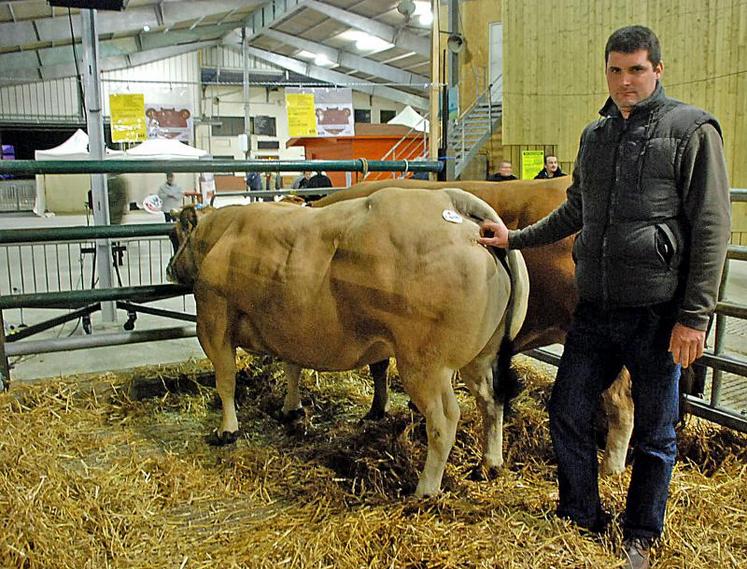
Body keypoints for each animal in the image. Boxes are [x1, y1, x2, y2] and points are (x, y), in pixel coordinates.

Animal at [169, 189, 532, 494]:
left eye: (174, 236)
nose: (171, 269)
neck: (222, 234)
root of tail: (450, 200)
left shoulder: (212, 318)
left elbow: (225, 379)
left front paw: (227, 429)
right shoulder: (289, 323)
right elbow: (292, 367)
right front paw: (290, 408)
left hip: (425, 364)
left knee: (444, 420)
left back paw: (425, 488)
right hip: (480, 355)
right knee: (491, 400)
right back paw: (489, 464)